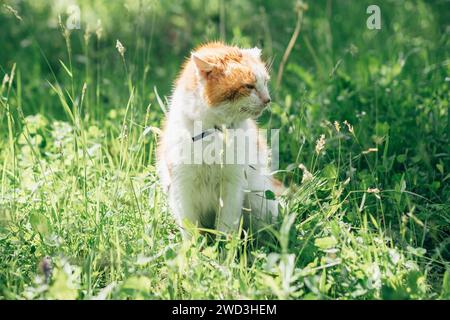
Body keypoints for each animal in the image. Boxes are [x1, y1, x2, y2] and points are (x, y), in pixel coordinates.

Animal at [156, 41, 282, 239]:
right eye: (248, 86)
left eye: (265, 82)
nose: (268, 100)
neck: (216, 132)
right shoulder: (183, 187)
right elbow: (191, 231)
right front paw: (194, 248)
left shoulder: (232, 186)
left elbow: (226, 228)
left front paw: (224, 246)